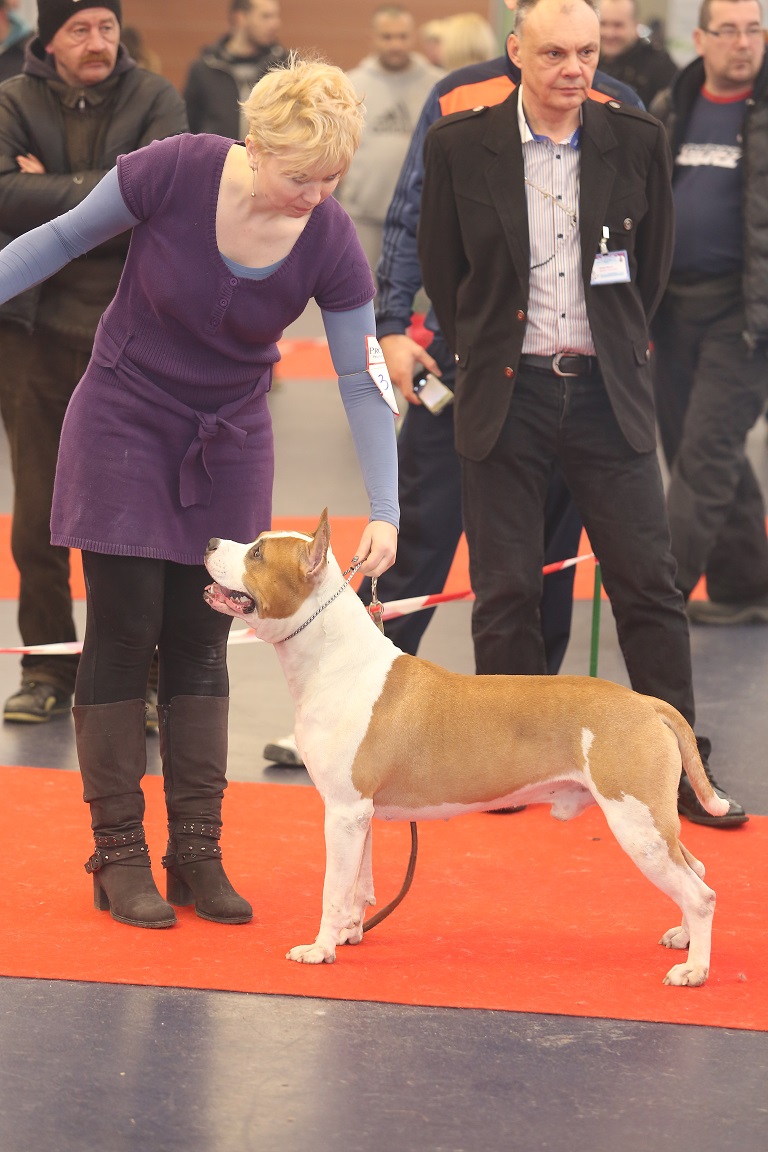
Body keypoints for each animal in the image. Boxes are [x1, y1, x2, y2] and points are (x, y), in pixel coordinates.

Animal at [204, 510, 729, 986]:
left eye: (257, 553)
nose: (209, 541)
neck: (334, 661)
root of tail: (647, 704)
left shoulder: (343, 811)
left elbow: (334, 888)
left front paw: (320, 949)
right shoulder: (357, 814)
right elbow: (358, 883)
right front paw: (351, 932)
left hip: (636, 823)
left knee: (700, 894)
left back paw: (695, 969)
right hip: (652, 822)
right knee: (698, 869)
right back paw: (682, 939)